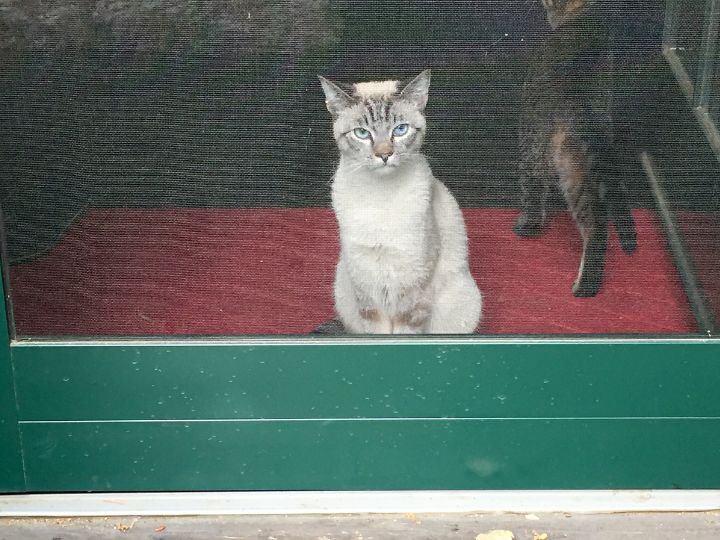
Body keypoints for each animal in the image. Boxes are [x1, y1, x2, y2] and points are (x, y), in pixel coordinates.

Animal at [320, 69, 478, 334]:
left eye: (400, 130)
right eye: (362, 133)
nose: (384, 155)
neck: (380, 197)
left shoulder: (415, 281)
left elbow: (405, 334)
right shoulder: (365, 281)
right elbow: (377, 333)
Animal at [516, 0, 636, 296]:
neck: (585, 15)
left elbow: (534, 191)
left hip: (542, 149)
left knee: (537, 187)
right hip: (581, 165)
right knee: (596, 223)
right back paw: (588, 285)